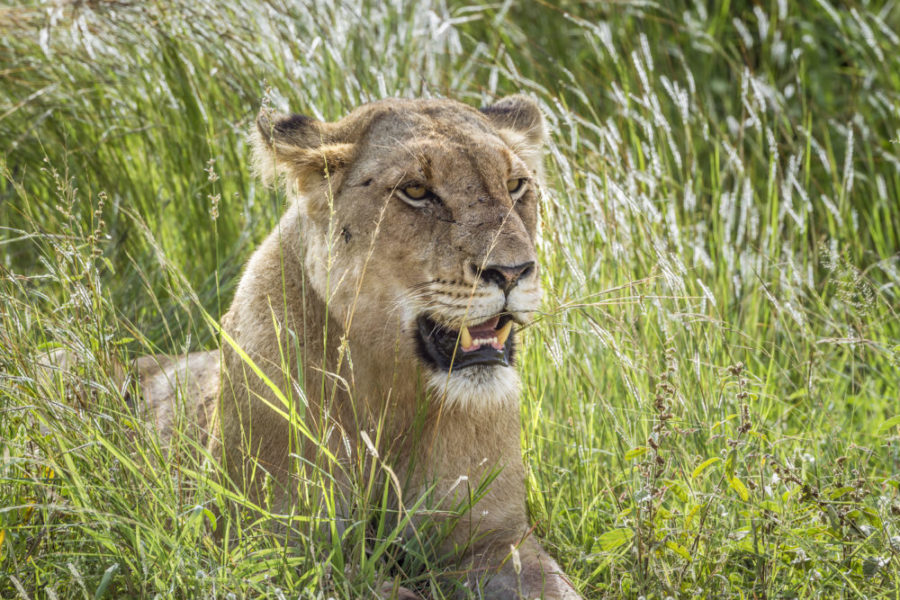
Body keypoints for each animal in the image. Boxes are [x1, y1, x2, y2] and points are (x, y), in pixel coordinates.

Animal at [130, 96, 580, 596]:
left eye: (515, 185)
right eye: (417, 191)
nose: (512, 271)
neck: (393, 392)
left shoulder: (495, 539)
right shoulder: (272, 550)